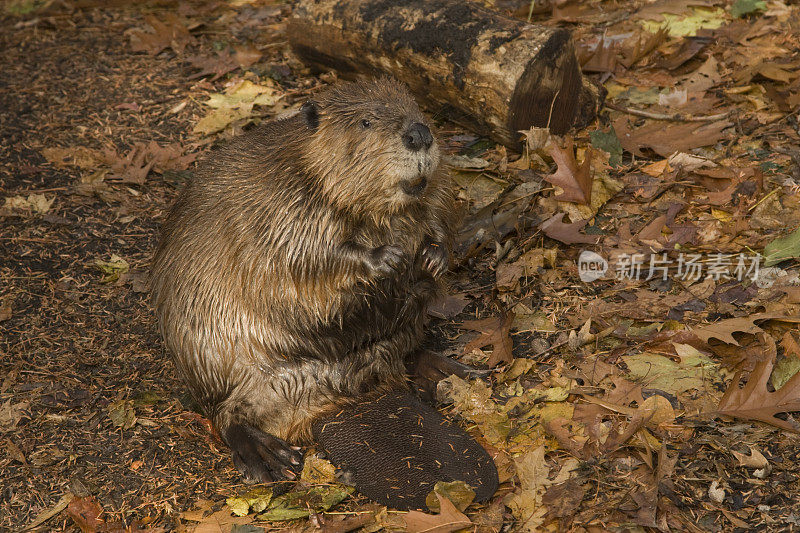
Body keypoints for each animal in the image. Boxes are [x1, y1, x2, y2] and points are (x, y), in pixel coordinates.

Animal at [150, 77, 496, 510]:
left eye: (415, 106)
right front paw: (388, 258)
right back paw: (273, 460)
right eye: (365, 122)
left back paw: (462, 373)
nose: (419, 133)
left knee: (409, 348)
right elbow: (306, 254)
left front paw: (432, 256)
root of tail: (342, 399)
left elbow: (439, 210)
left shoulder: (435, 187)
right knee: (227, 416)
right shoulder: (283, 203)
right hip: (220, 365)